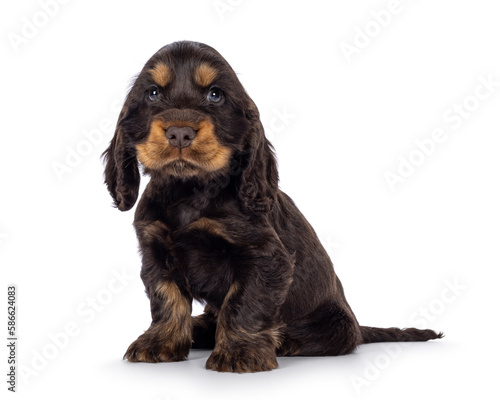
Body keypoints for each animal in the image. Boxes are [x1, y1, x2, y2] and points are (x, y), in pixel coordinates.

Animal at [102, 40, 442, 372]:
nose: (180, 133)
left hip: (336, 323)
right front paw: (158, 343)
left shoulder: (264, 257)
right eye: (152, 93)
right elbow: (167, 299)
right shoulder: (155, 252)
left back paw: (284, 339)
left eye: (215, 95)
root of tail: (358, 327)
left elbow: (243, 303)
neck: (189, 190)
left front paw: (240, 352)